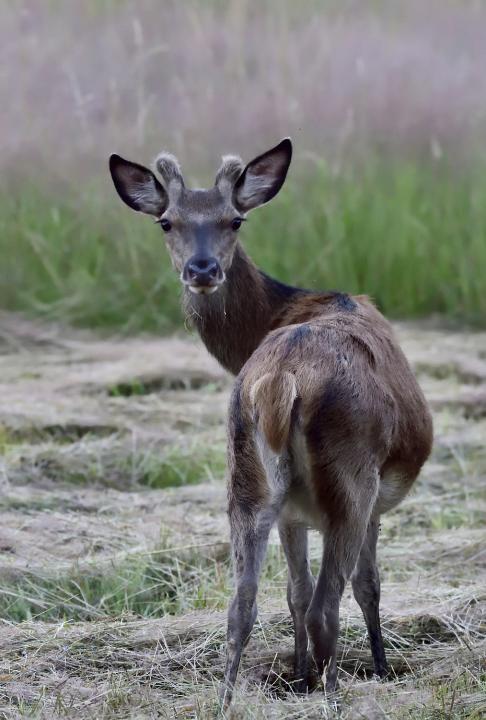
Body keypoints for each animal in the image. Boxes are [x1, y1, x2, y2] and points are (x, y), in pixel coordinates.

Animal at [109, 139, 432, 704]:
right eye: (166, 222)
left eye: (234, 220)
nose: (201, 269)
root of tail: (283, 381)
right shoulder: (371, 503)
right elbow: (366, 586)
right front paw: (378, 668)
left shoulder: (292, 513)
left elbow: (292, 591)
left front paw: (299, 676)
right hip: (351, 479)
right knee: (327, 608)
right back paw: (332, 699)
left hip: (245, 474)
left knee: (240, 606)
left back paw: (226, 703)